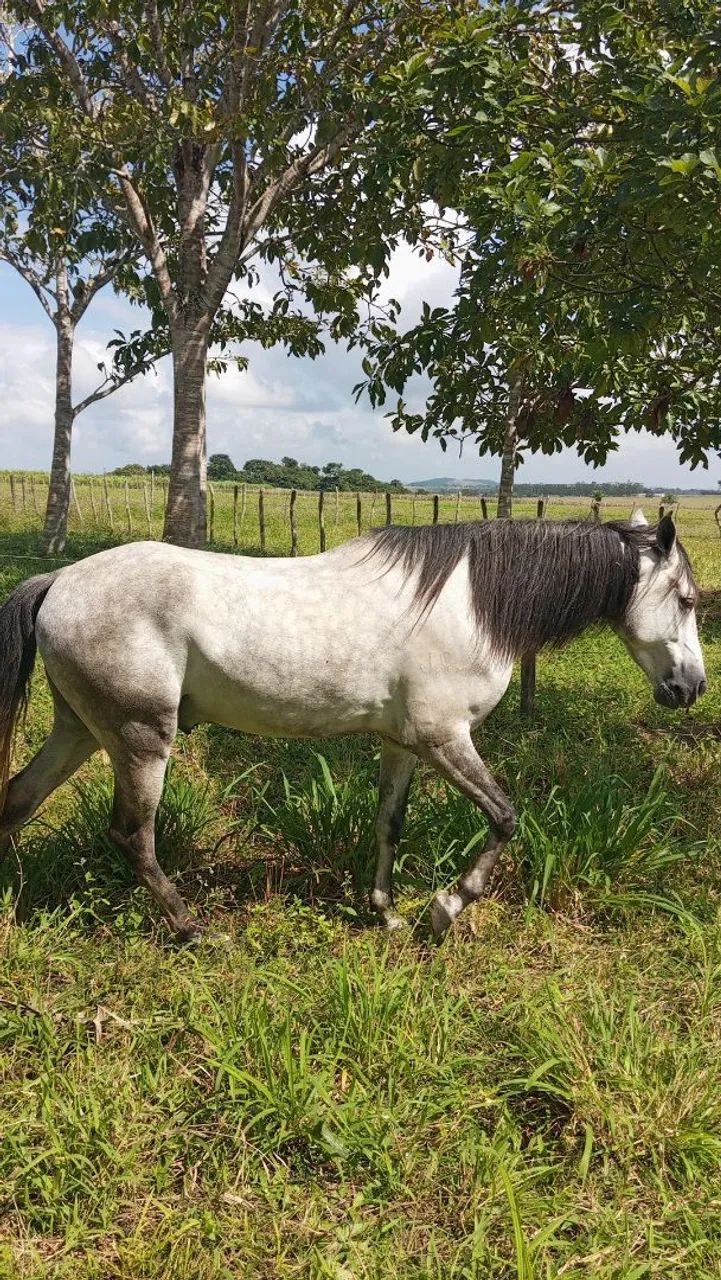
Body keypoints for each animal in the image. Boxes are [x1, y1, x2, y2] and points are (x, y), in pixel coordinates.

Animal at [0, 512, 706, 940]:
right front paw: (445, 909)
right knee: (132, 835)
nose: (691, 688)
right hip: (141, 740)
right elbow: (505, 818)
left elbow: (390, 822)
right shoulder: (446, 739)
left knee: (18, 799)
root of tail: (60, 579)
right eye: (688, 599)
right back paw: (194, 928)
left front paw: (387, 915)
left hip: (80, 730)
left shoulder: (404, 743)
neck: (470, 602)